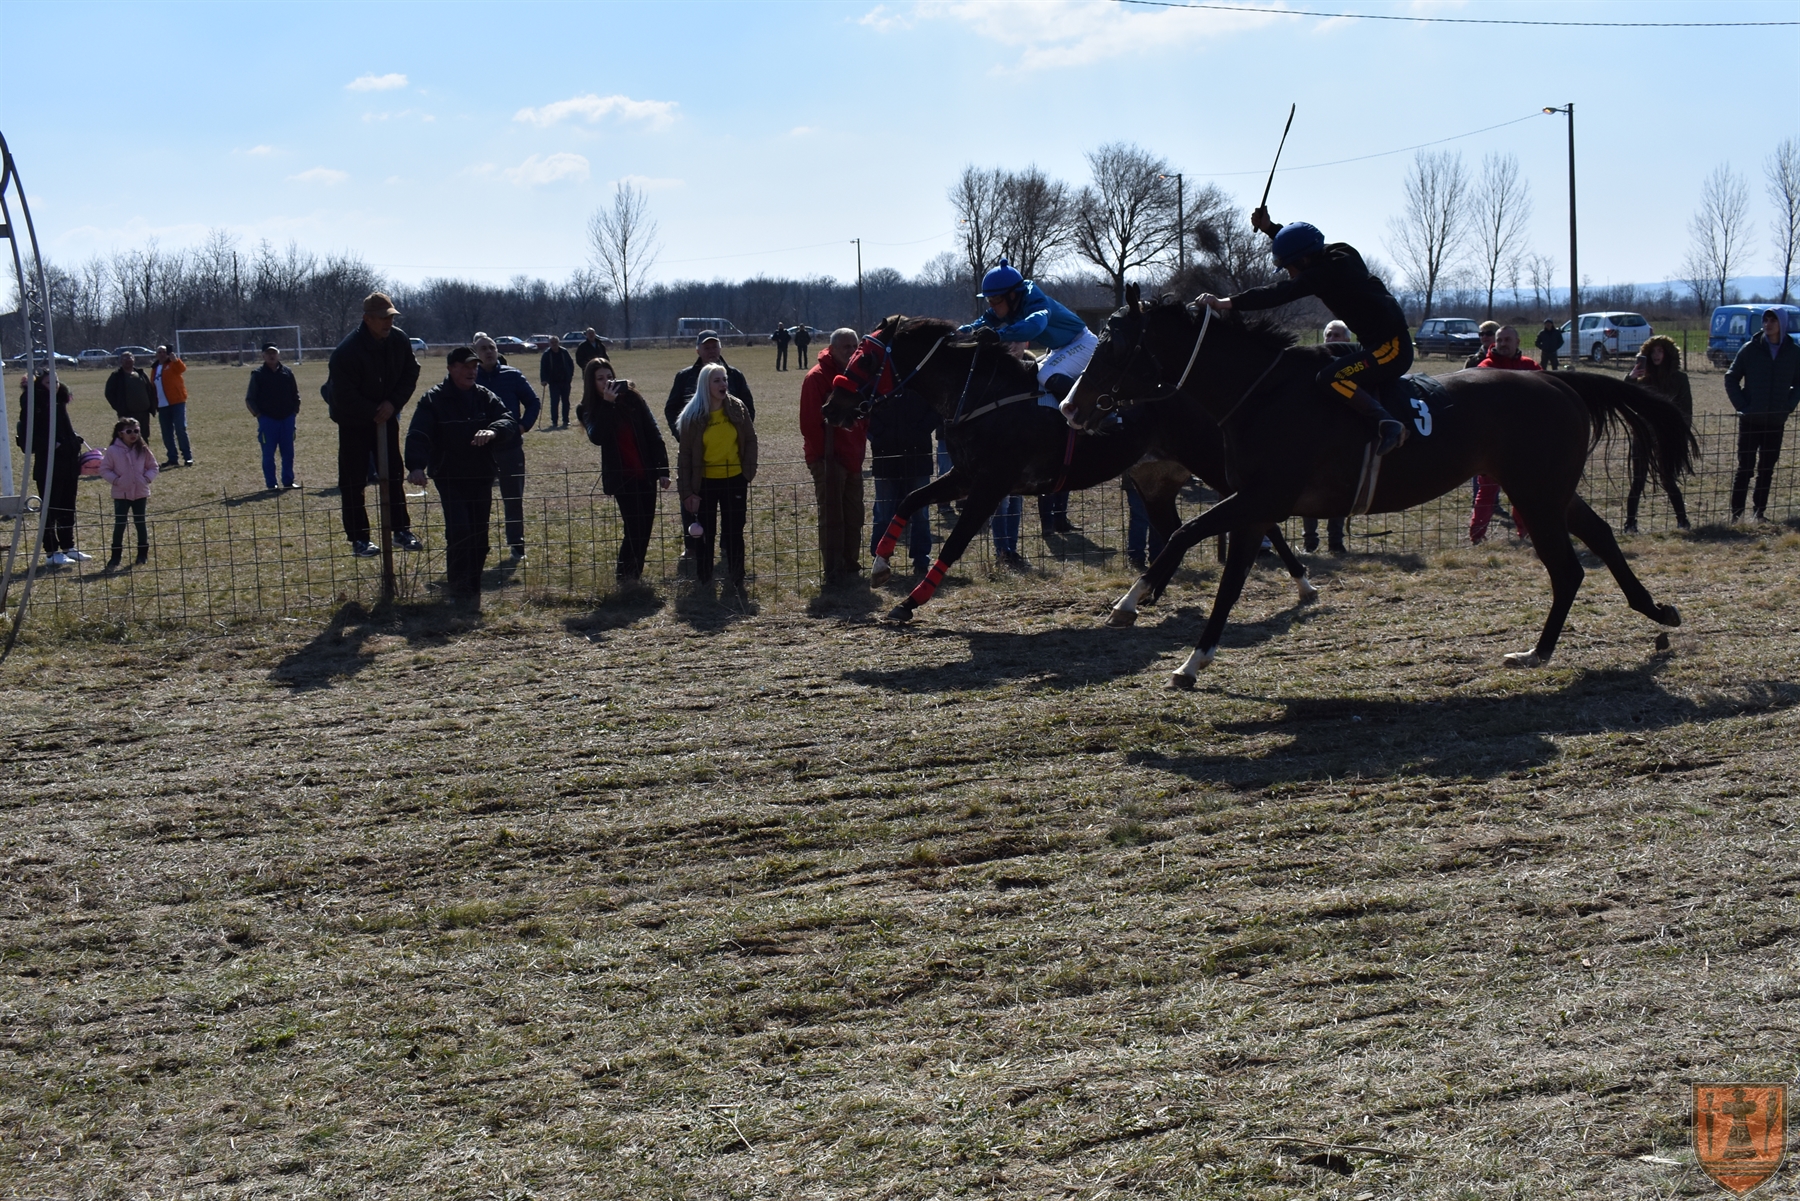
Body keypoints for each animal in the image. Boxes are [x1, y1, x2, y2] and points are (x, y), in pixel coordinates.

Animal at [821, 315, 1315, 624]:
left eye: (866, 359)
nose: (831, 407)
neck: (978, 394)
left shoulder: (991, 485)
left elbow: (956, 542)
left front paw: (910, 601)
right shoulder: (964, 476)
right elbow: (908, 499)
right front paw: (881, 565)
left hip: (1213, 463)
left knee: (1263, 521)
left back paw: (1304, 585)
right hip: (1152, 478)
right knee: (1175, 526)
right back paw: (1145, 594)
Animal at [1059, 288, 1695, 688]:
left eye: (1117, 344)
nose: (1069, 406)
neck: (1262, 394)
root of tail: (1560, 384)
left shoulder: (1260, 498)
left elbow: (1186, 534)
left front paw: (1136, 604)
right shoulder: (1254, 506)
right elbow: (1229, 573)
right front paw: (1192, 659)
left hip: (1535, 495)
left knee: (1568, 570)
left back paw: (1536, 653)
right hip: (1549, 490)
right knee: (1602, 535)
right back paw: (1656, 611)